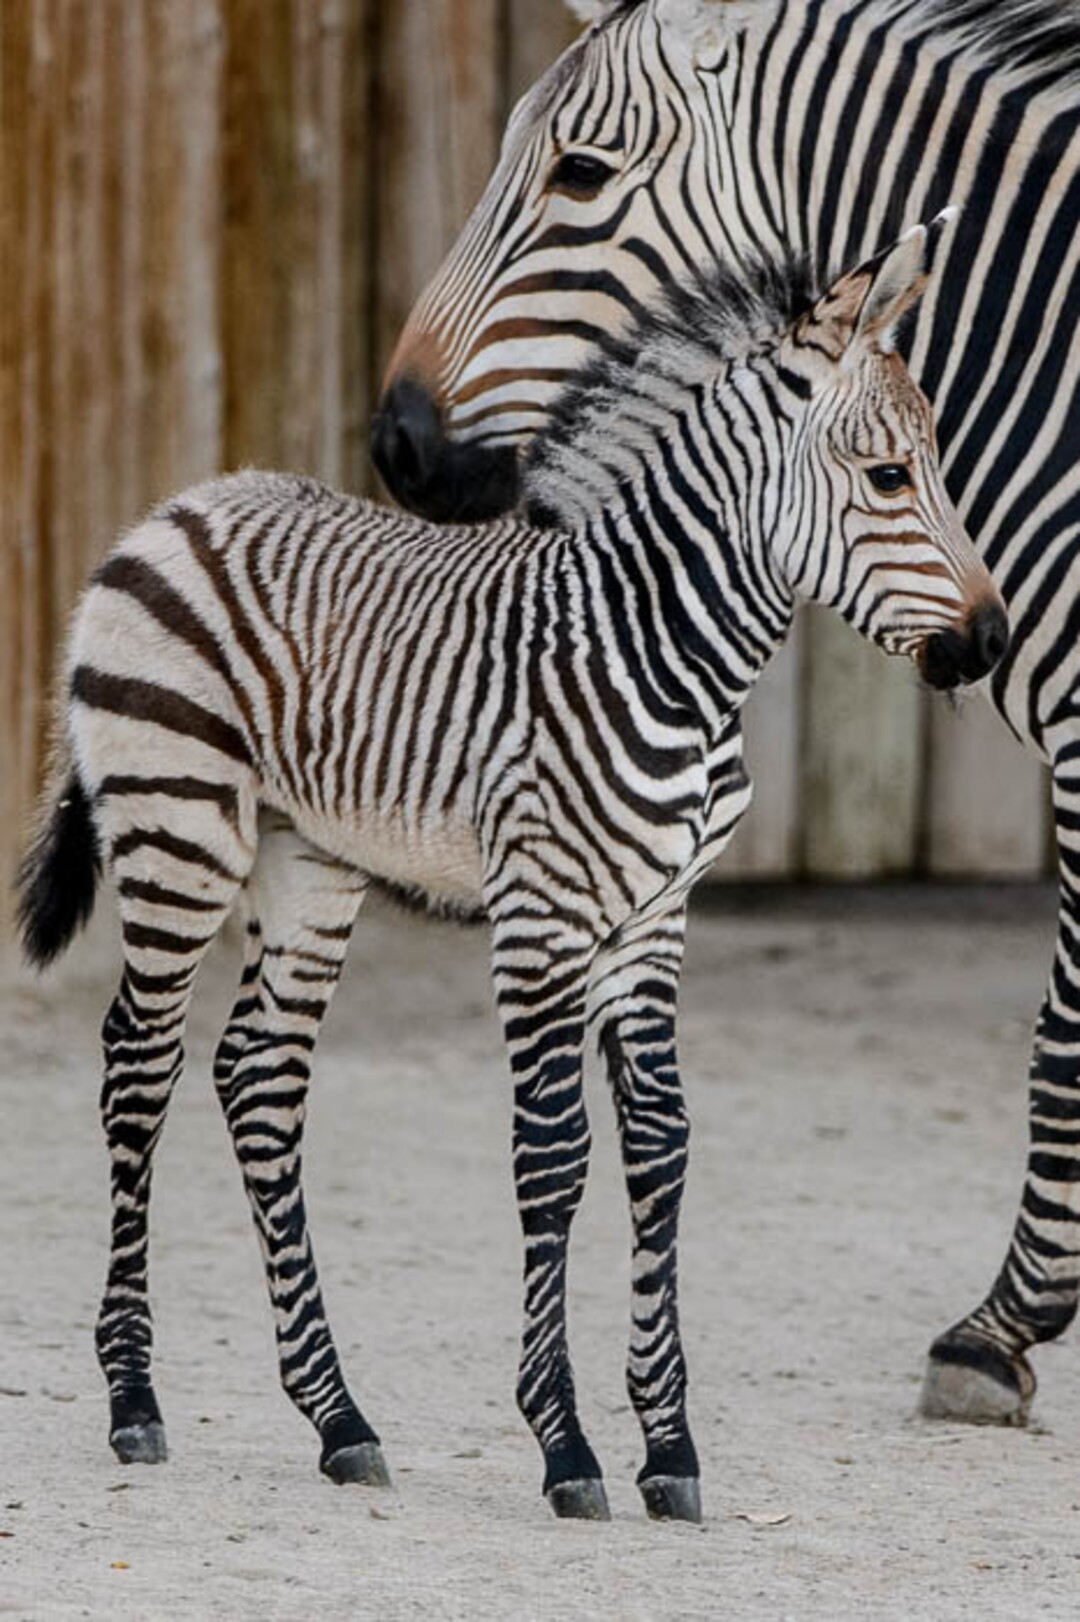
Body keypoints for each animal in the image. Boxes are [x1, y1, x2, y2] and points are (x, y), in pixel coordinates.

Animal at [19, 222, 1005, 1522]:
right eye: (892, 478)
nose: (992, 641)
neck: (669, 651)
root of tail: (171, 510)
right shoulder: (543, 910)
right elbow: (553, 1149)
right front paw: (568, 1443)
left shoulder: (654, 916)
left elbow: (660, 1144)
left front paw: (669, 1446)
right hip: (176, 827)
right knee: (139, 1067)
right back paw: (134, 1399)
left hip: (310, 862)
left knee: (259, 1078)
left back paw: (339, 1418)